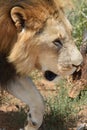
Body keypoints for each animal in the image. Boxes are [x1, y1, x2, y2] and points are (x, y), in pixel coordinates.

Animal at [0, 0, 83, 130]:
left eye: (71, 32)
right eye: (56, 42)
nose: (79, 64)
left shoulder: (8, 69)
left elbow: (38, 99)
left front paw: (31, 123)